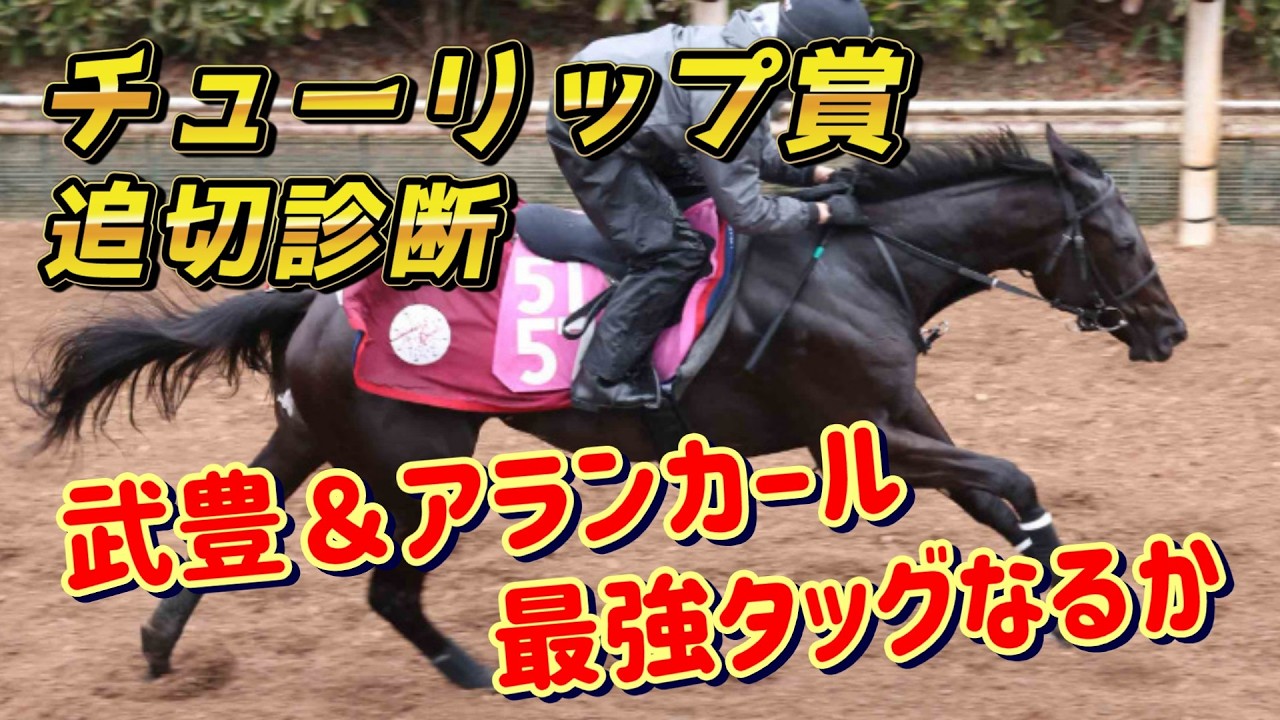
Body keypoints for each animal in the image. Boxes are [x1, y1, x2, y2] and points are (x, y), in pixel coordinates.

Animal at [25, 126, 1186, 689]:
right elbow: (1008, 480)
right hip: (411, 460)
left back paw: (161, 649)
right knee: (390, 593)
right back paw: (473, 671)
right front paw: (1084, 596)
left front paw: (1080, 600)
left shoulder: (901, 423)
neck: (856, 263)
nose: (1169, 331)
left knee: (224, 532)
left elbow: (996, 498)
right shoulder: (861, 437)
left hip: (311, 430)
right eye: (1122, 238)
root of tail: (319, 295)